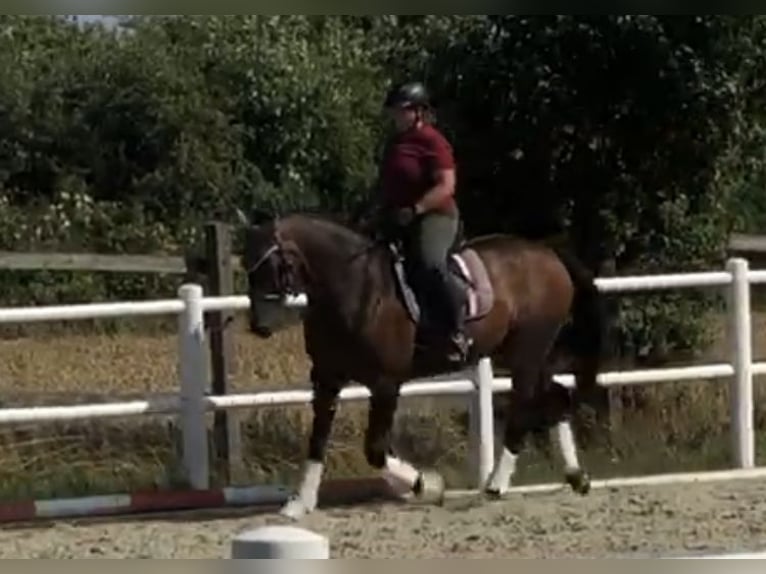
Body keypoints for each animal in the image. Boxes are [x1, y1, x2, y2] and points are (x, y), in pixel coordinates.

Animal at [239, 209, 606, 520]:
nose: (259, 326)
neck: (355, 288)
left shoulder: (386, 384)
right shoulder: (327, 378)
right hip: (524, 355)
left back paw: (496, 485)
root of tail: (547, 253)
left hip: (527, 354)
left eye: (272, 266)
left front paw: (428, 485)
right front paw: (299, 503)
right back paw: (577, 477)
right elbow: (317, 440)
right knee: (557, 397)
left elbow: (375, 450)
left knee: (524, 410)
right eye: (248, 268)